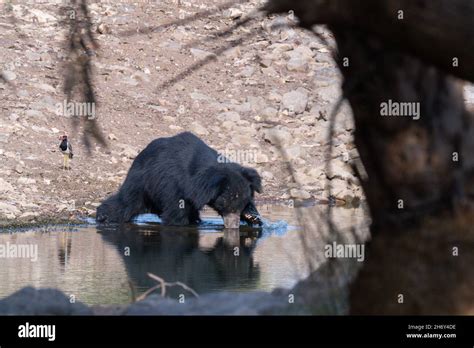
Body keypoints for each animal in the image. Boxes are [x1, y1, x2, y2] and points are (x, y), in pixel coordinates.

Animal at [94, 131, 262, 228]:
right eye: (226, 204)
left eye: (241, 204)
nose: (233, 226)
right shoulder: (174, 188)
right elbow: (176, 215)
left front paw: (254, 218)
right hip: (141, 183)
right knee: (125, 203)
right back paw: (102, 216)